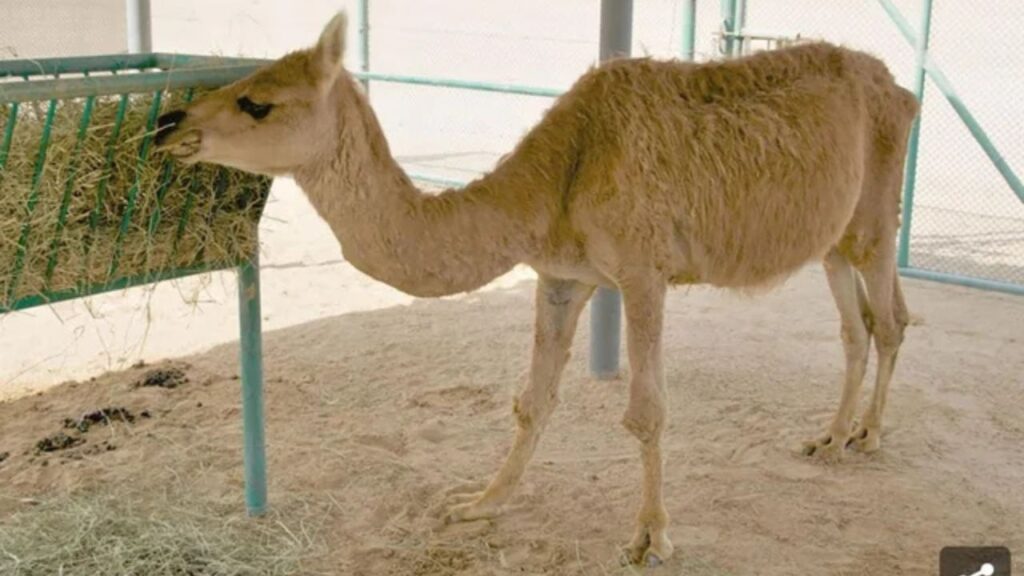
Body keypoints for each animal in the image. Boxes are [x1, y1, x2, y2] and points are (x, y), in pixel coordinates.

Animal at [155, 12, 918, 566]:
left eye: (256, 101)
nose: (169, 124)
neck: (558, 176)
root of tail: (902, 91)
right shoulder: (563, 275)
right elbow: (532, 401)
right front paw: (478, 503)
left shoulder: (642, 272)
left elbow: (646, 412)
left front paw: (650, 538)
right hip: (833, 239)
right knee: (858, 325)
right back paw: (831, 436)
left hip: (876, 215)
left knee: (891, 318)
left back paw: (871, 436)